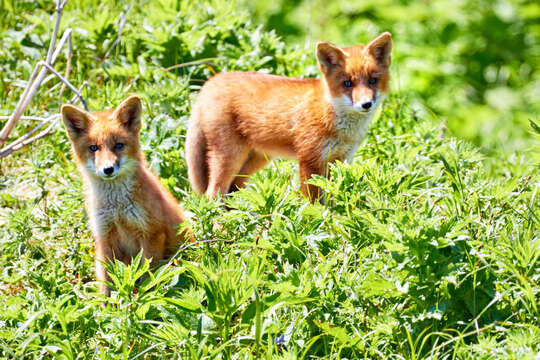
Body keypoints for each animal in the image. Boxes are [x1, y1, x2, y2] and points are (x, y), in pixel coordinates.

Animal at [61, 95, 191, 296]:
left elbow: (148, 276)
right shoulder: (104, 237)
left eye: (118, 145)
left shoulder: (151, 233)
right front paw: (107, 304)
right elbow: (107, 282)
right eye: (93, 148)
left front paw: (144, 296)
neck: (117, 208)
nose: (108, 169)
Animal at [186, 32, 392, 201]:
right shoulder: (310, 159)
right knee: (213, 193)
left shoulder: (338, 160)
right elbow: (314, 202)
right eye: (348, 83)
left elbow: (332, 198)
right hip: (230, 156)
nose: (366, 104)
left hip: (256, 159)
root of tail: (210, 81)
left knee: (233, 189)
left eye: (372, 80)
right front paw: (318, 220)